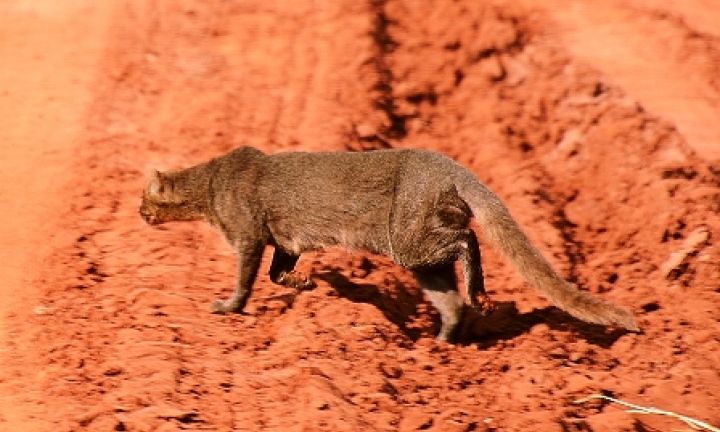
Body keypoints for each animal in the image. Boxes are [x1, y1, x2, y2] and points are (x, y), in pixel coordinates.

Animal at [139, 147, 636, 342]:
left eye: (143, 200)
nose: (139, 216)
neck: (210, 185)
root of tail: (451, 165)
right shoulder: (284, 239)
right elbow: (279, 271)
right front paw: (304, 284)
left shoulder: (247, 236)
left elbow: (247, 279)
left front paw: (227, 307)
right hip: (421, 257)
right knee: (452, 298)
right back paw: (440, 343)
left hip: (408, 241)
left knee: (467, 239)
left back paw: (480, 295)